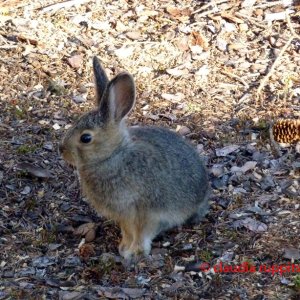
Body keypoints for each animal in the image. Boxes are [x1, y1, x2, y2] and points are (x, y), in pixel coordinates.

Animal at [59, 56, 210, 260]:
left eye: (86, 138)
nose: (61, 150)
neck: (113, 155)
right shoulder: (124, 216)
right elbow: (128, 232)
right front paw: (124, 248)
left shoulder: (145, 212)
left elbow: (141, 234)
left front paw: (134, 253)